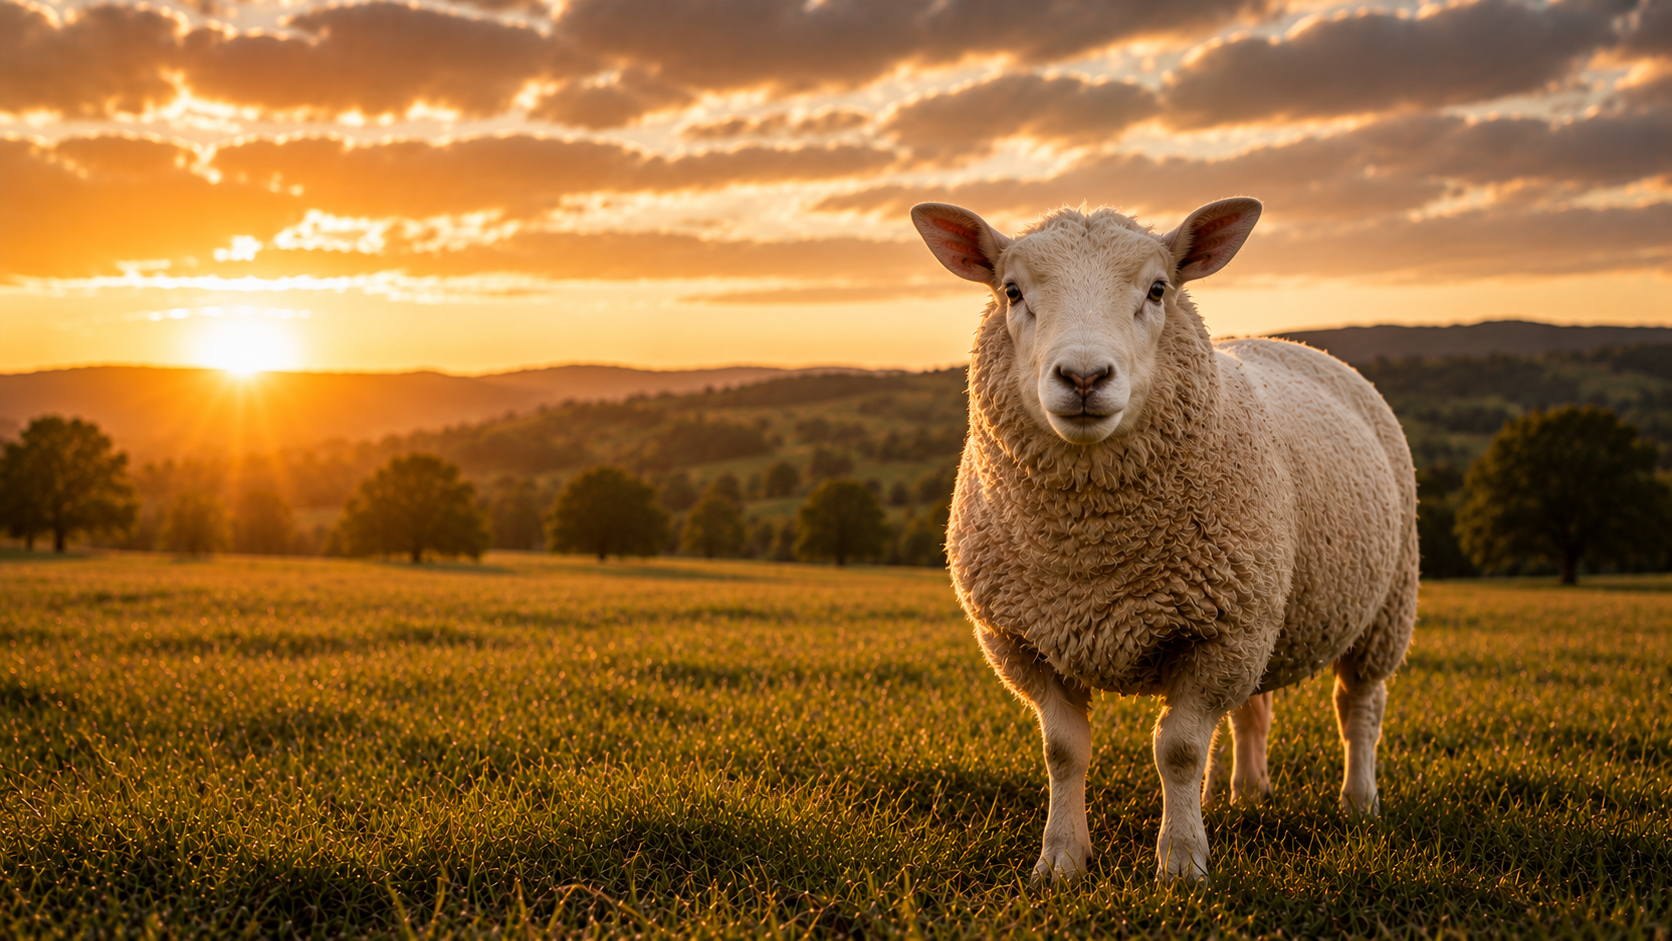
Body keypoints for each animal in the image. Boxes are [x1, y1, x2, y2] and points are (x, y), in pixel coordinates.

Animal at [909, 198, 1418, 882]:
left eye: (1157, 289)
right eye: (1011, 291)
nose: (1084, 376)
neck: (1091, 554)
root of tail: (1292, 342)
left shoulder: (1220, 634)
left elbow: (1176, 750)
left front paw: (1181, 862)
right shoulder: (1022, 640)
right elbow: (1063, 750)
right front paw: (1061, 860)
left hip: (1379, 607)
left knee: (1358, 707)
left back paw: (1358, 802)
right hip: (1262, 611)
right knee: (1251, 711)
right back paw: (1239, 793)